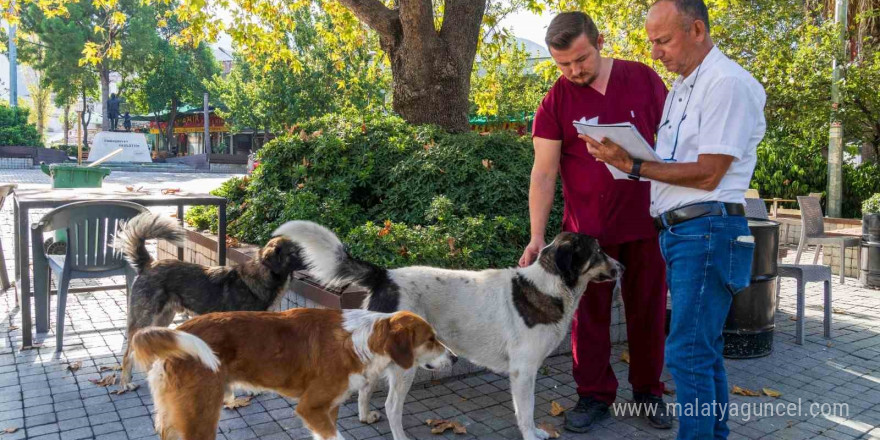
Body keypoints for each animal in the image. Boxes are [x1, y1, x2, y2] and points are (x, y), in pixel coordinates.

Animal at [113, 213, 306, 392]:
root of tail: (149, 265)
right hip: (146, 318)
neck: (262, 278)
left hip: (164, 317)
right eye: (295, 251)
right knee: (128, 353)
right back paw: (125, 382)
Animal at [131, 308, 454, 440]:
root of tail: (179, 330)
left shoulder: (328, 408)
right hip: (200, 418)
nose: (454, 357)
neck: (362, 339)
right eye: (431, 339)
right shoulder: (310, 407)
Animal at [272, 222, 624, 440]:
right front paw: (532, 434)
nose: (621, 267)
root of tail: (385, 275)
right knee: (391, 406)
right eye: (598, 251)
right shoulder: (523, 373)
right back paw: (398, 434)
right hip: (405, 367)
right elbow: (526, 412)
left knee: (366, 389)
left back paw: (364, 416)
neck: (548, 286)